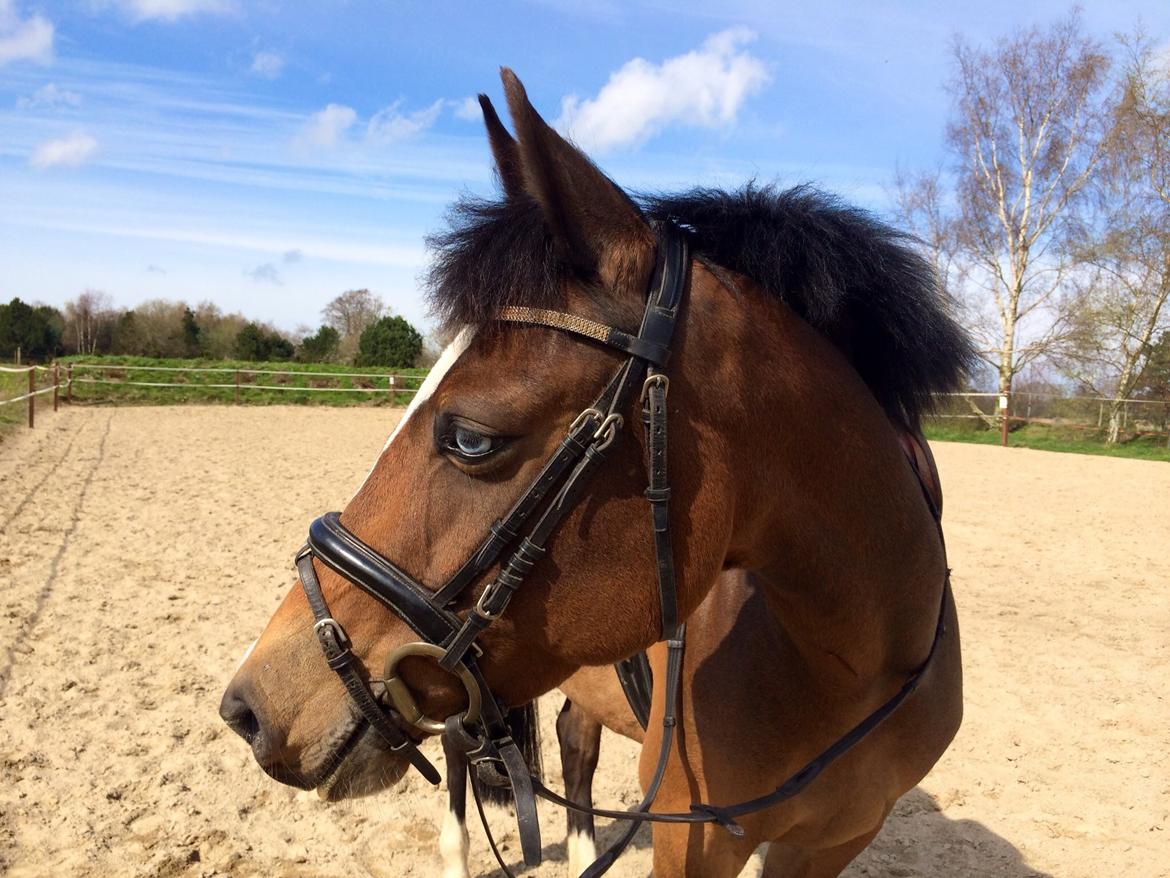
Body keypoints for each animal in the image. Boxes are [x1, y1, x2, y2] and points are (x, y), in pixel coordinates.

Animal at [220, 67, 972, 877]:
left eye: (472, 438)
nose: (248, 708)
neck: (851, 664)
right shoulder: (691, 838)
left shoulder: (831, 843)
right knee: (460, 761)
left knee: (574, 742)